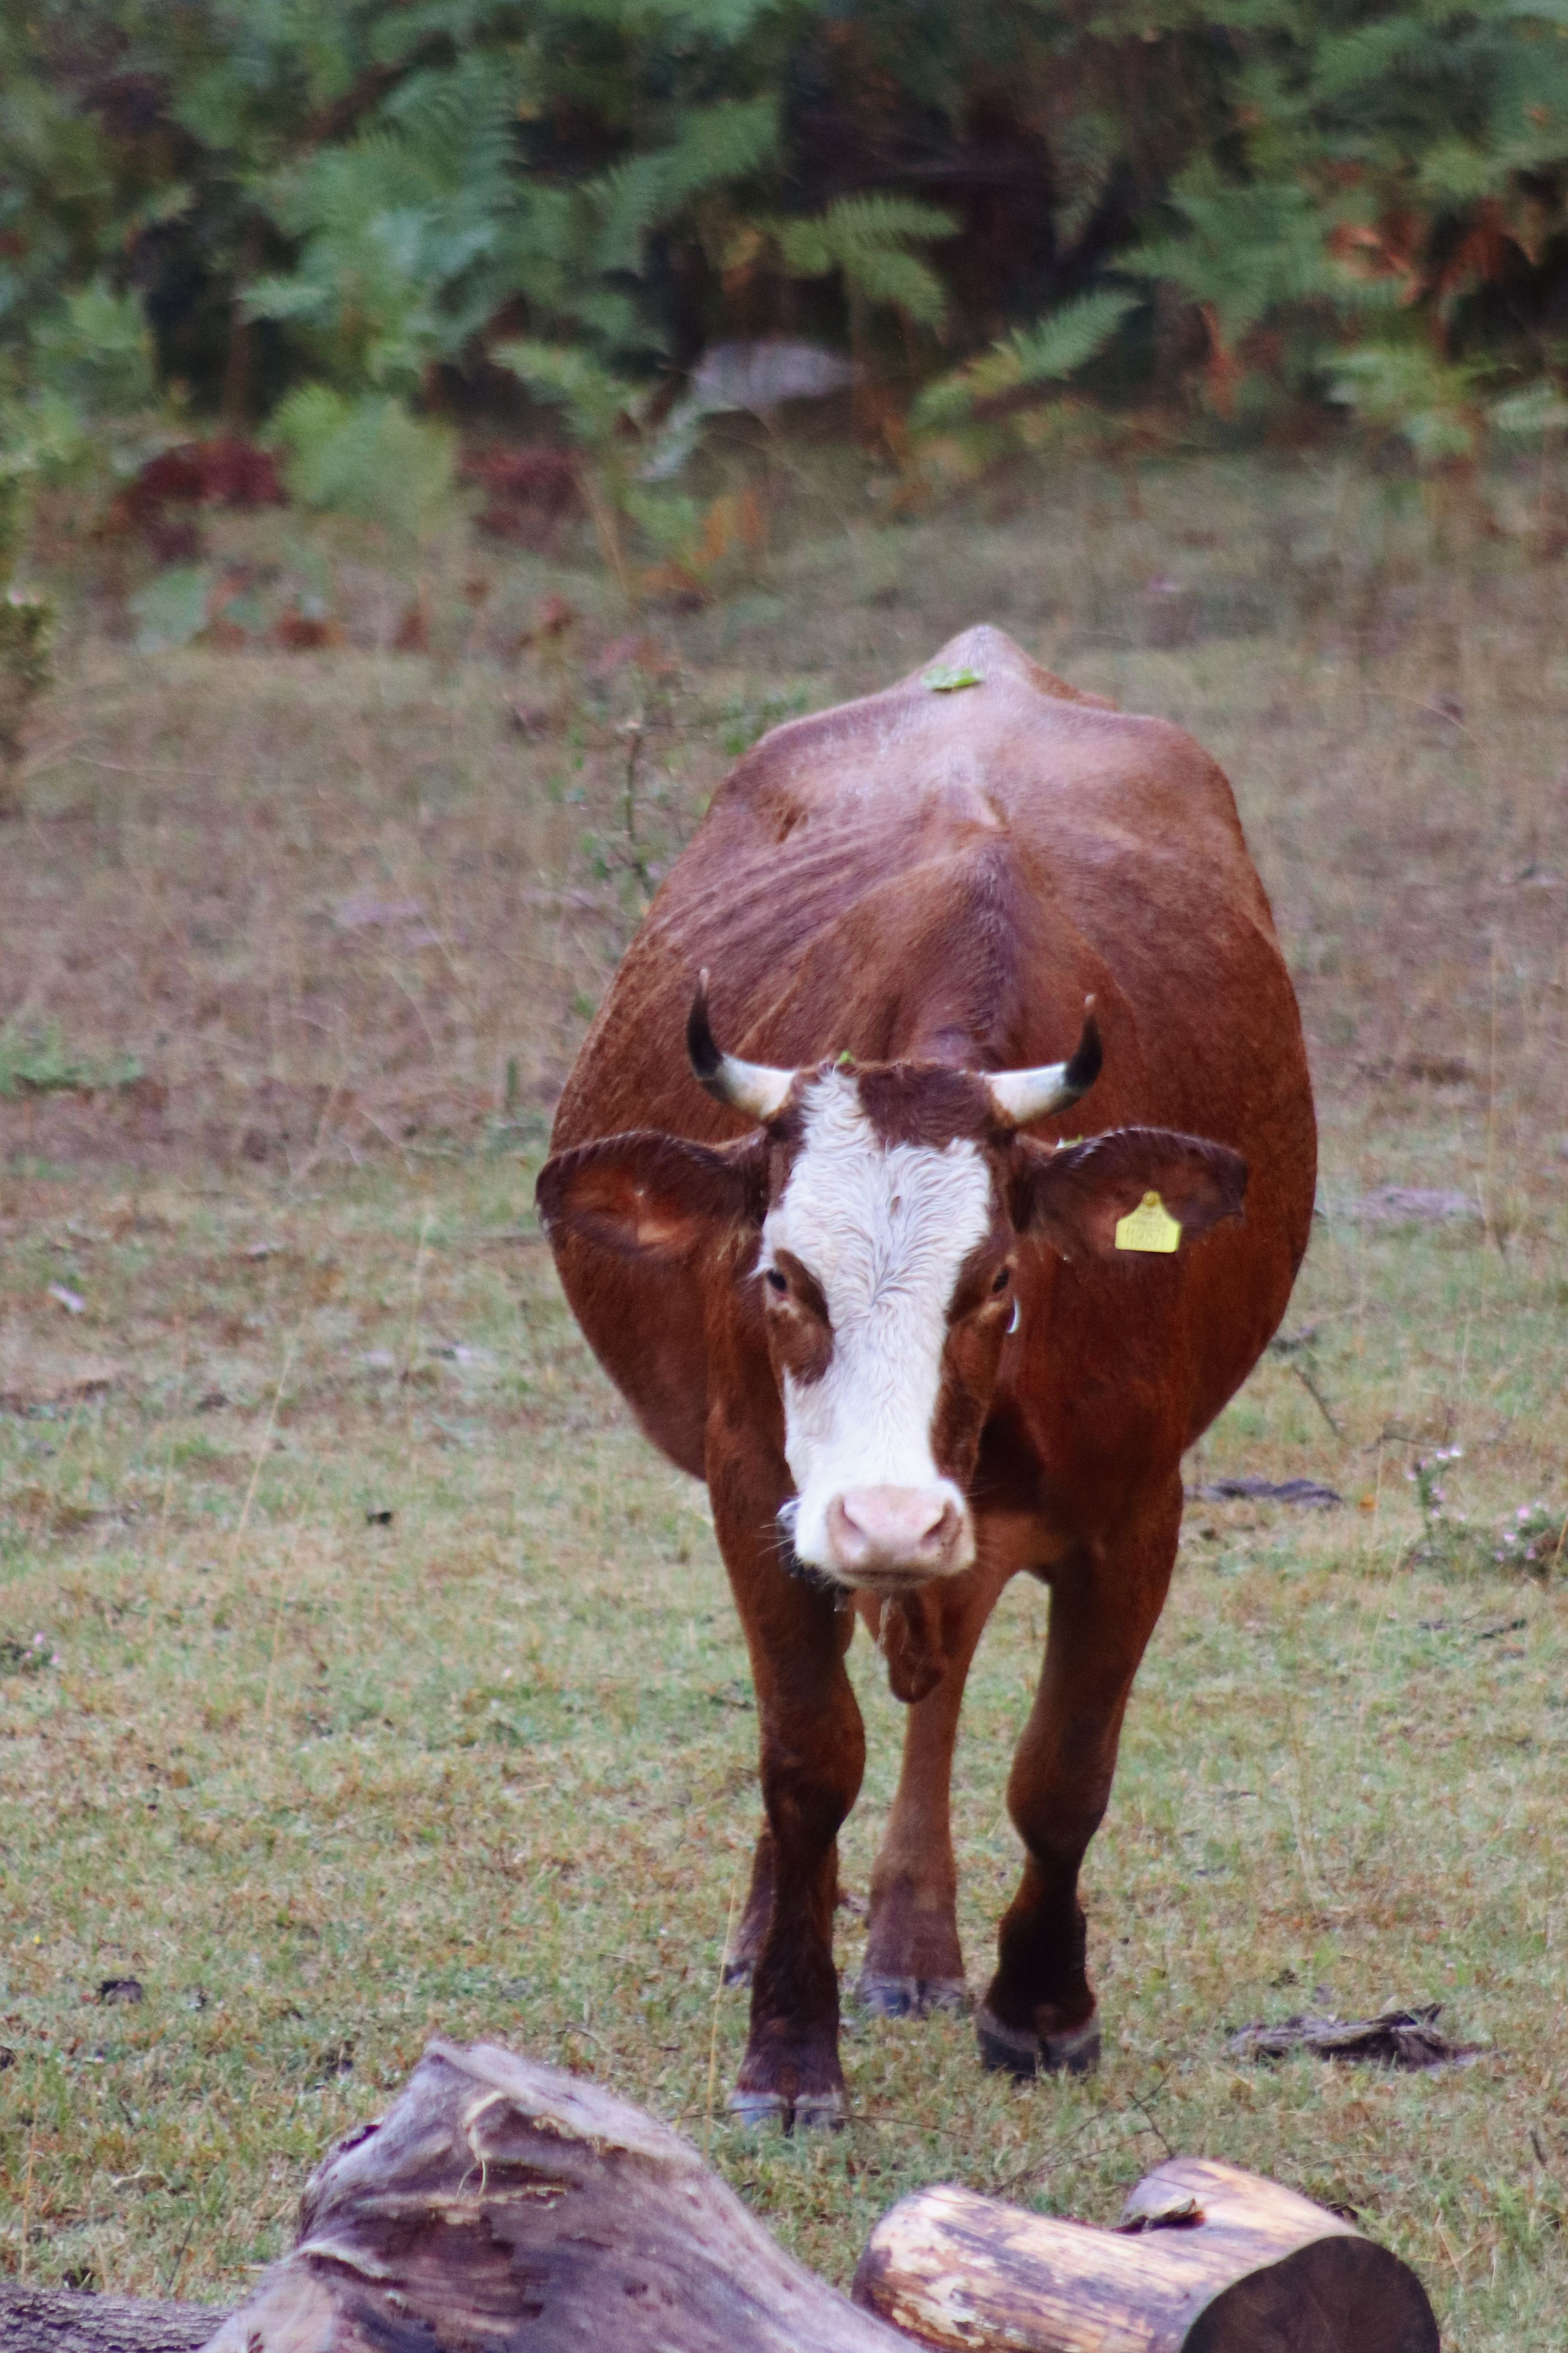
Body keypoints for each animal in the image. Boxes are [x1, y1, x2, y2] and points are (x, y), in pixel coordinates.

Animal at [536, 625, 1315, 2128]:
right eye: (778, 1279)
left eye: (1000, 1279)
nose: (889, 1513)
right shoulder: (757, 1491)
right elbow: (806, 1753)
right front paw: (789, 2048)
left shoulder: (1137, 1509)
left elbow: (1063, 1767)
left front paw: (1042, 2008)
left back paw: (912, 1939)